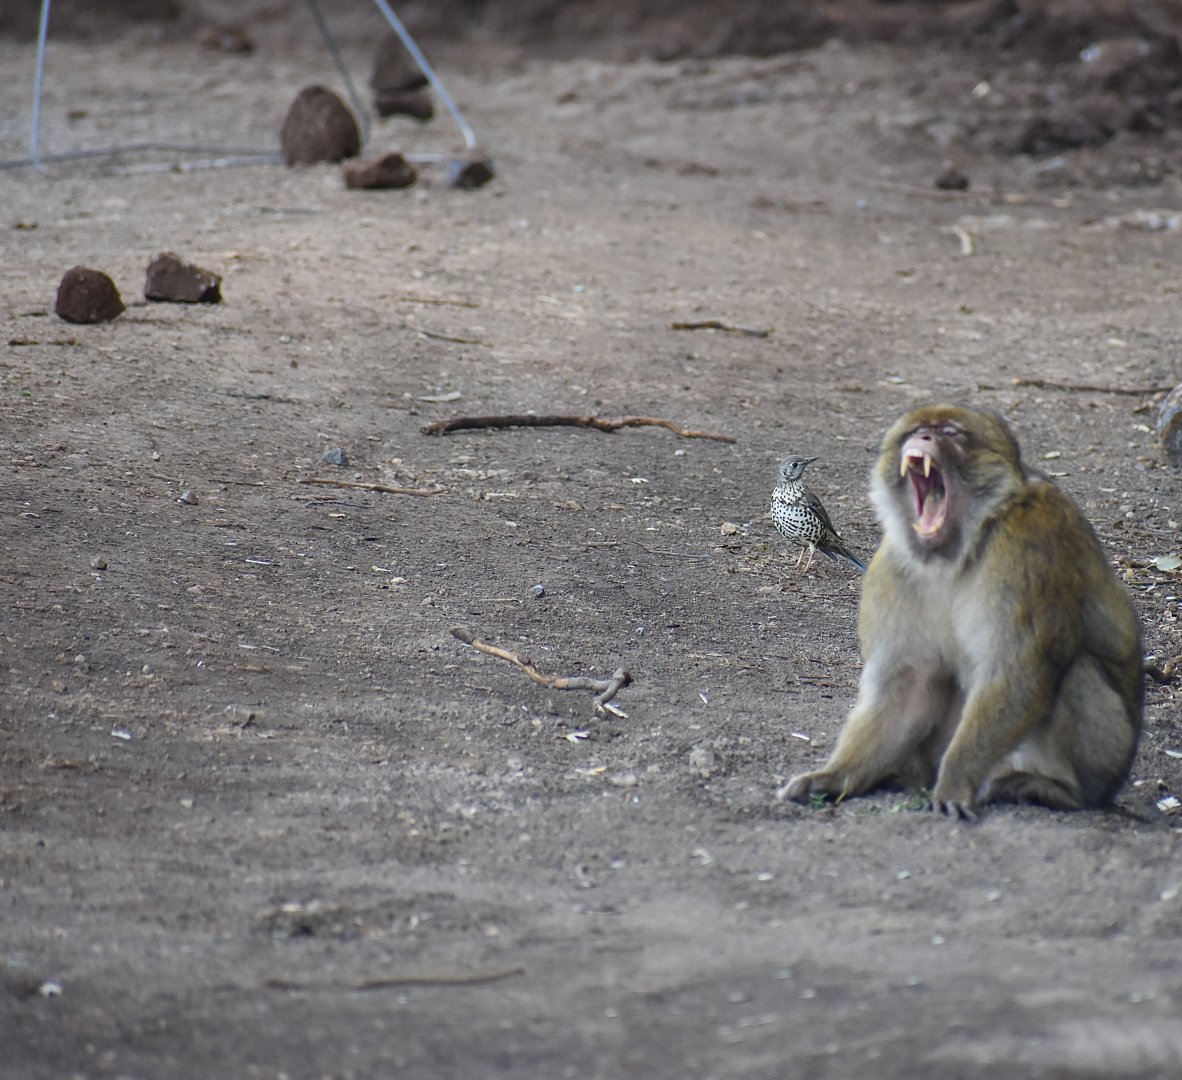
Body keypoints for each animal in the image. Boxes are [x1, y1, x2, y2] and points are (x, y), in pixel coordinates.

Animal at [780, 404, 1143, 820]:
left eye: (950, 432)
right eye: (918, 429)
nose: (923, 438)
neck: (955, 551)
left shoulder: (1027, 550)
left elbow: (1019, 671)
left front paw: (954, 782)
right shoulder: (894, 564)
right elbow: (908, 684)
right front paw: (835, 777)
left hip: (1104, 762)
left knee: (1076, 671)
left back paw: (1061, 791)